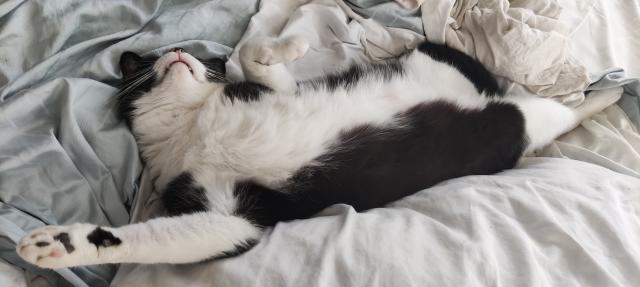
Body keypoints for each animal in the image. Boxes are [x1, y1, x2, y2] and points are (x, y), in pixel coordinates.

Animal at [15, 36, 616, 270]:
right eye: (148, 61)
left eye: (200, 59)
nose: (180, 50)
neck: (191, 125)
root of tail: (482, 99)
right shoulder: (228, 215)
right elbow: (161, 238)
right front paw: (59, 245)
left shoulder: (263, 91)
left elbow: (260, 61)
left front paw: (283, 44)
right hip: (501, 123)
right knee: (539, 113)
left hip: (449, 65)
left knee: (552, 107)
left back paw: (602, 92)